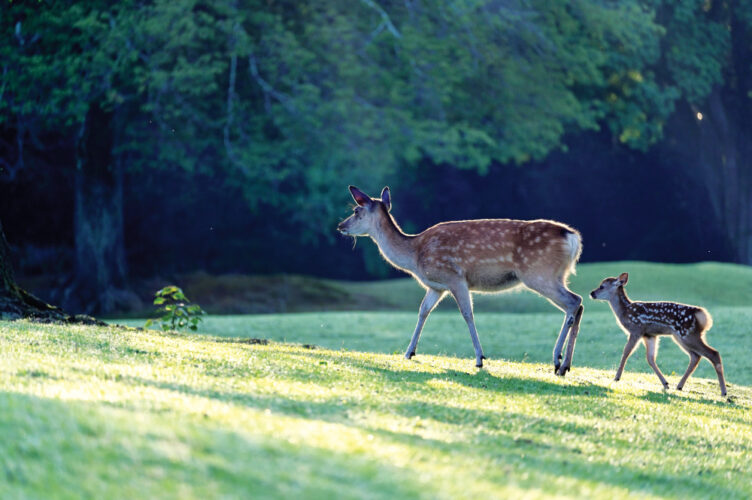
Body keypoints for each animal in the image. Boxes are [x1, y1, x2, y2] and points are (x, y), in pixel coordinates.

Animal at [337, 186, 584, 374]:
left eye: (356, 210)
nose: (340, 226)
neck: (415, 255)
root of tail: (572, 238)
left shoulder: (455, 277)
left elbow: (467, 313)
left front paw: (480, 358)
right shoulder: (436, 287)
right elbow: (423, 311)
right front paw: (409, 352)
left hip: (539, 273)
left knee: (574, 301)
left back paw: (557, 360)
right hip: (555, 275)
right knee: (578, 303)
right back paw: (565, 365)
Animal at [590, 273, 727, 396]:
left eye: (602, 286)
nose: (592, 293)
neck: (625, 312)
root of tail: (702, 315)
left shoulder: (636, 329)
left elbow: (626, 352)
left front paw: (616, 377)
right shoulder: (649, 335)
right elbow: (650, 358)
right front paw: (665, 384)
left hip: (687, 334)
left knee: (713, 353)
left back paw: (723, 392)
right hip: (681, 336)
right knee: (695, 356)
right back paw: (679, 385)